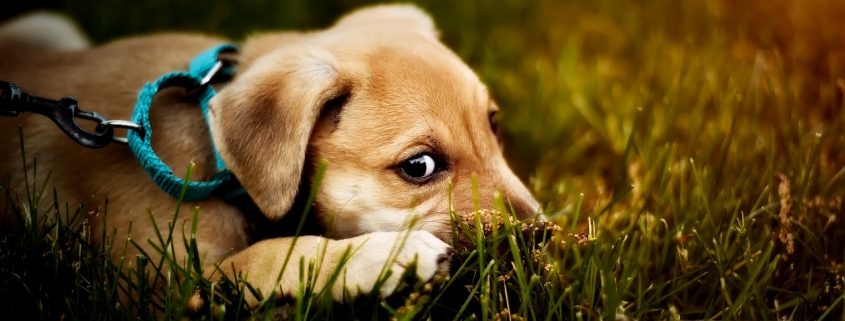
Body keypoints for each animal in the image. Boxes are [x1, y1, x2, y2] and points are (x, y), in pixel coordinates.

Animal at [0, 5, 540, 304]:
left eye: (493, 124)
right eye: (419, 166)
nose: (539, 236)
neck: (216, 157)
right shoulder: (164, 286)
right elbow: (272, 255)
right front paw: (387, 256)